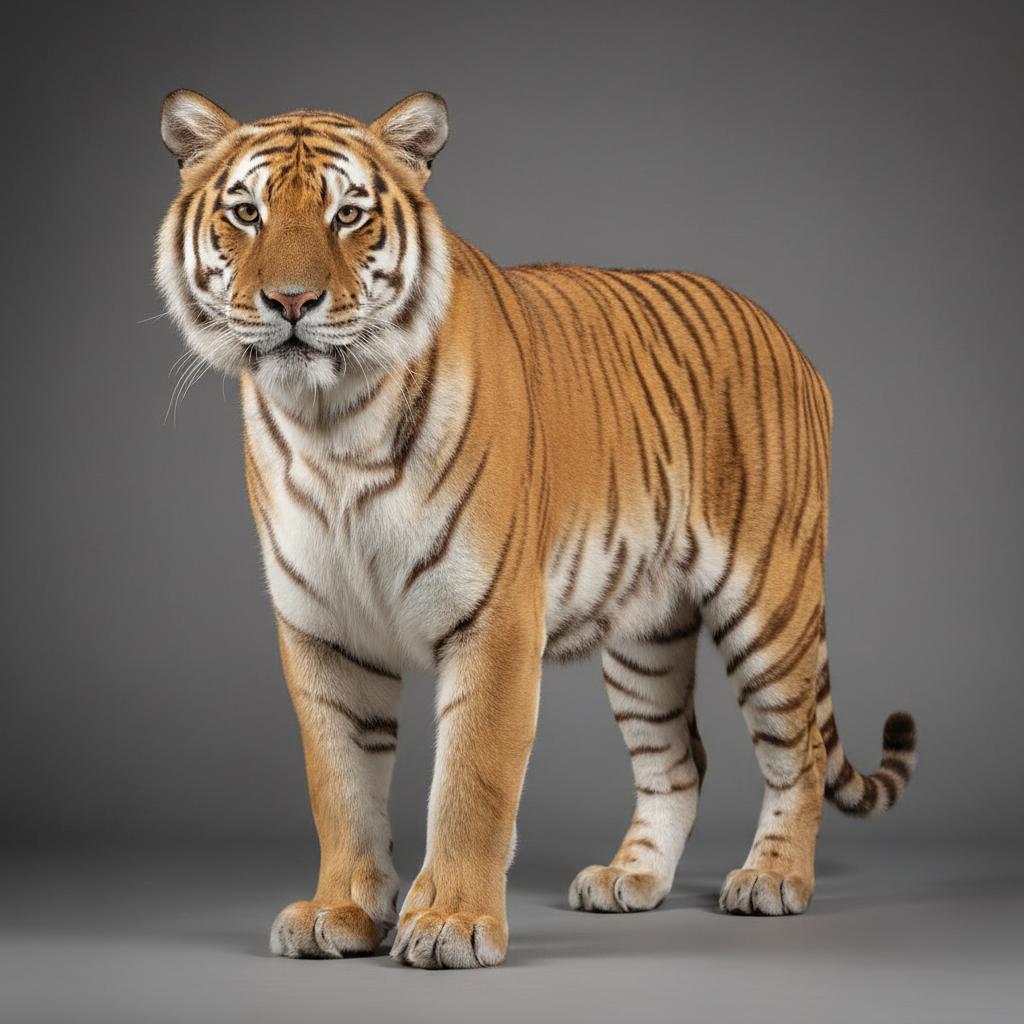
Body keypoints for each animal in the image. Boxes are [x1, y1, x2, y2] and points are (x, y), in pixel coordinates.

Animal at [156, 88, 917, 969]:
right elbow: (340, 785)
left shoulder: (494, 620)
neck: (331, 423)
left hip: (770, 601)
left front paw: (450, 922)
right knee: (678, 760)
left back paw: (773, 879)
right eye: (246, 213)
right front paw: (338, 911)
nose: (289, 303)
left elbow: (472, 782)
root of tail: (788, 339)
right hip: (646, 637)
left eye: (348, 215)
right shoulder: (322, 632)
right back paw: (630, 879)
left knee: (797, 750)